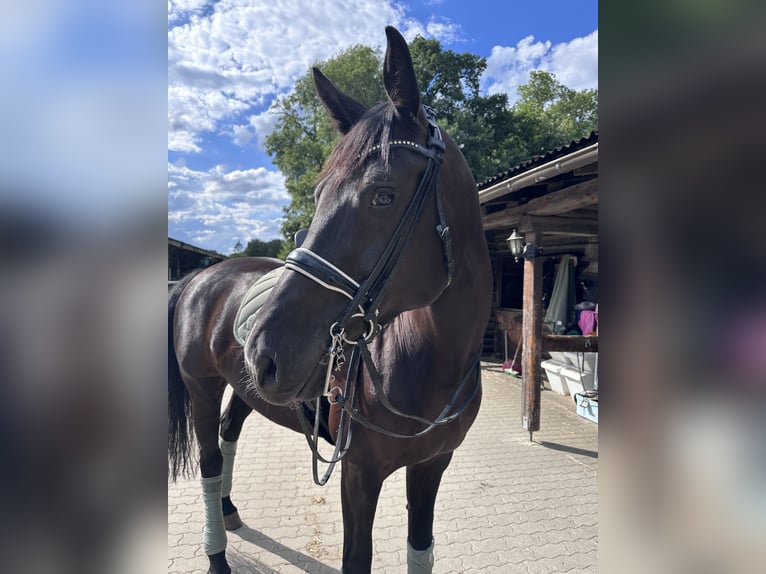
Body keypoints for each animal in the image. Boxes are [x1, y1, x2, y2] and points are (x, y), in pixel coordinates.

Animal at [168, 27, 492, 574]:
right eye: (318, 195)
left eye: (382, 194)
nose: (265, 352)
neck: (429, 361)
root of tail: (200, 276)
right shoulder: (357, 475)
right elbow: (356, 559)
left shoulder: (432, 467)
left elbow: (420, 549)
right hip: (202, 388)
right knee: (210, 463)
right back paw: (216, 554)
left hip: (245, 389)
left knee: (230, 435)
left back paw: (230, 509)